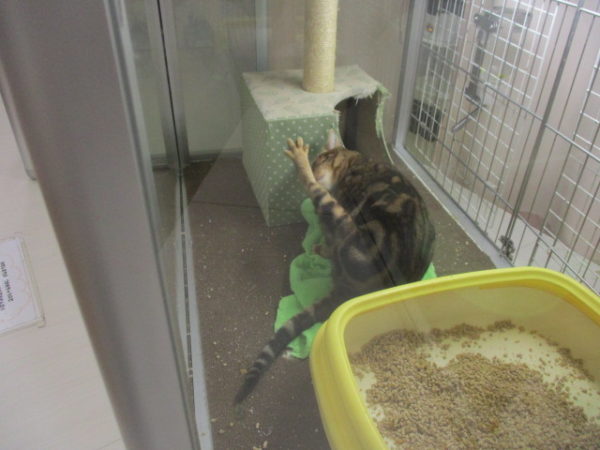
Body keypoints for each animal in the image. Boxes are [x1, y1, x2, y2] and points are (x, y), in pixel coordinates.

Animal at [235, 130, 435, 404]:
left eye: (320, 159)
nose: (314, 164)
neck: (357, 163)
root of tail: (355, 291)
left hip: (344, 221)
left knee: (315, 191)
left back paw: (299, 160)